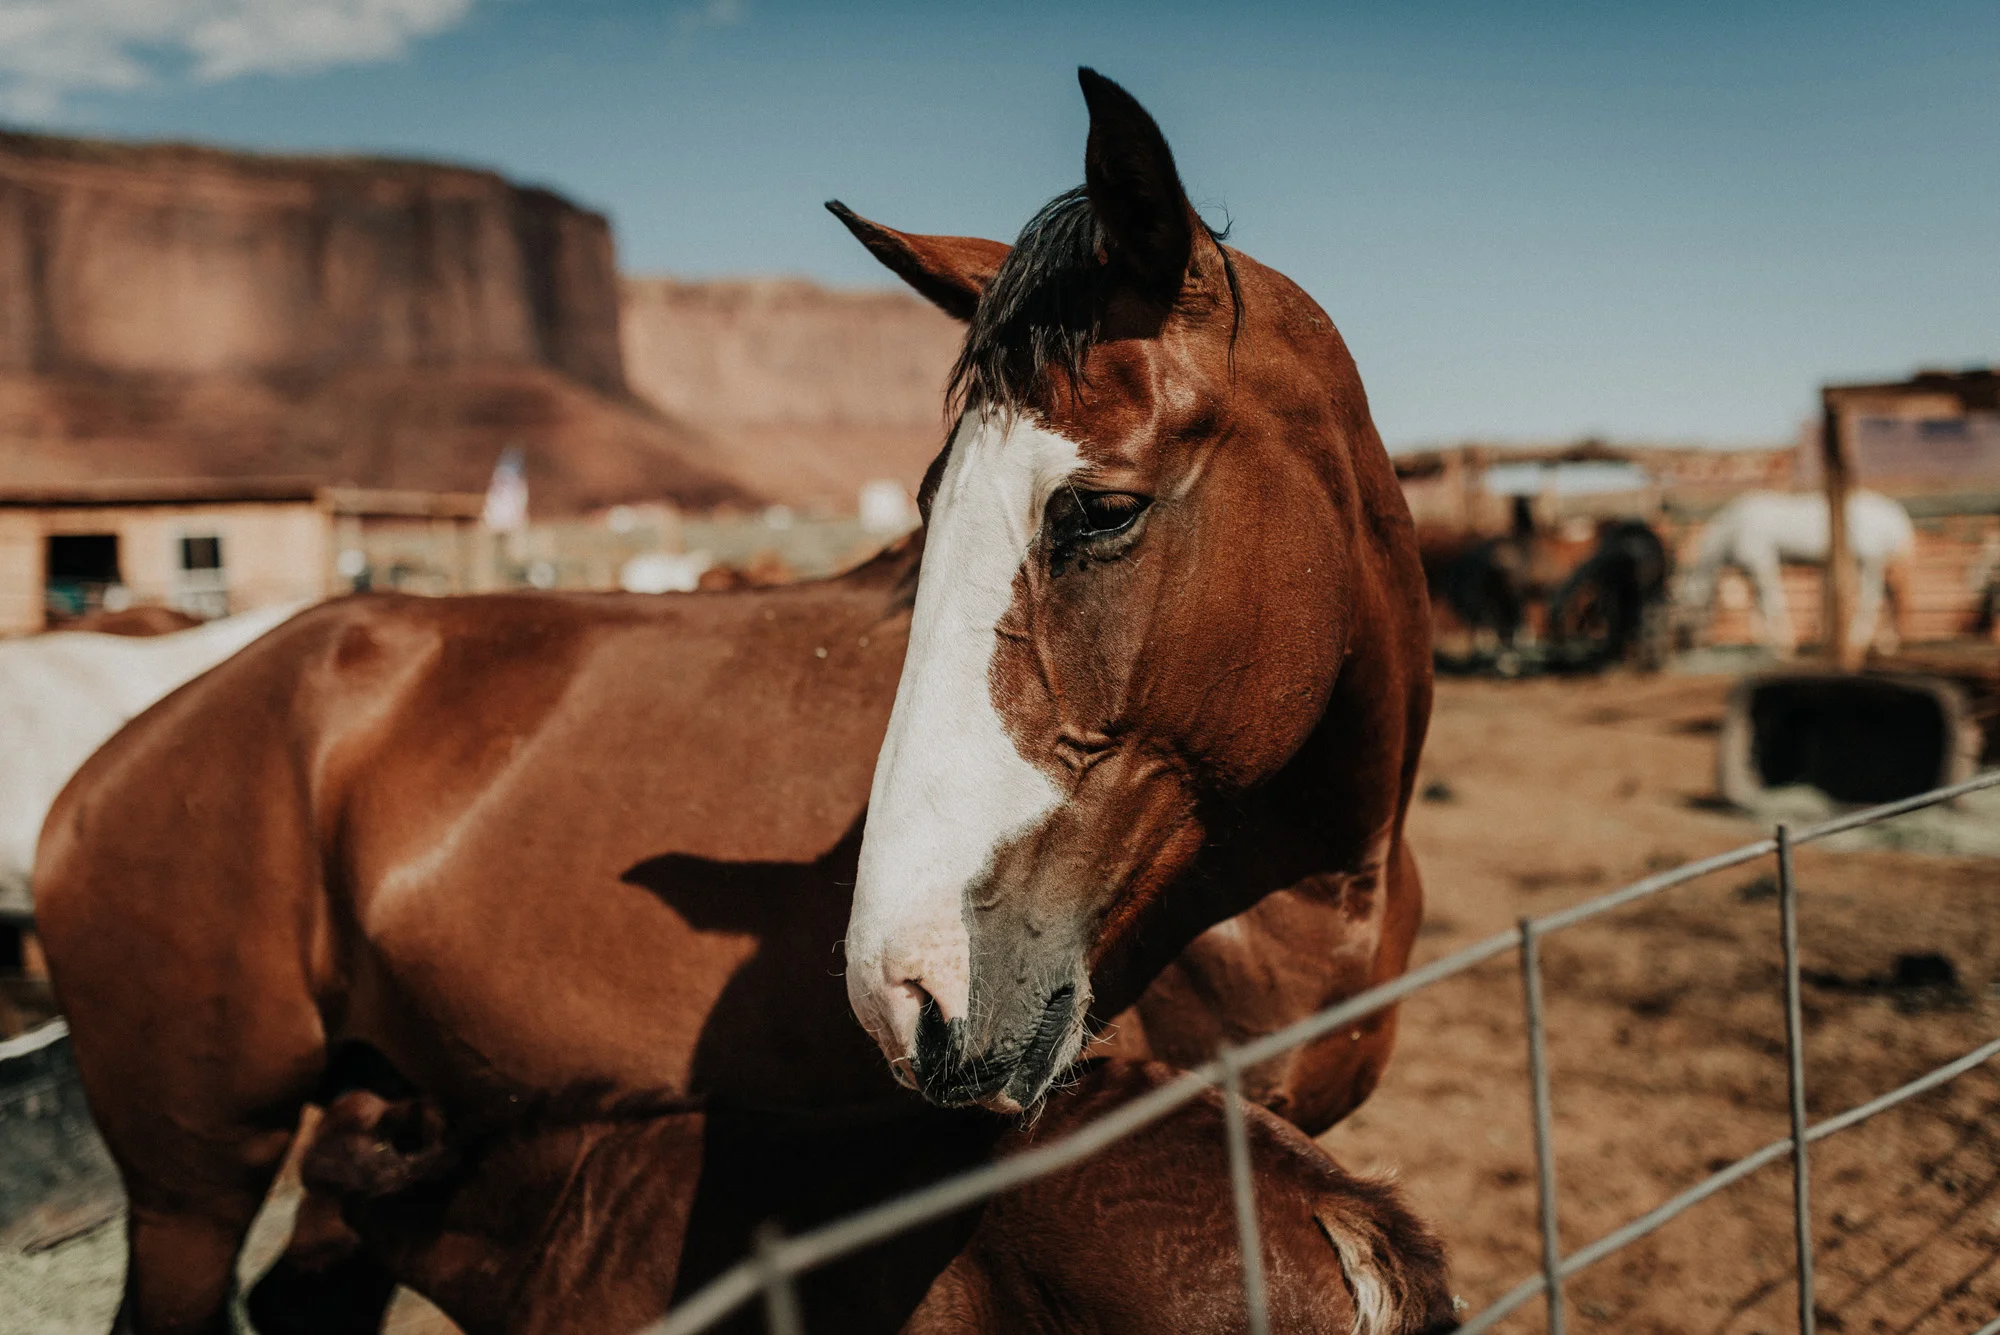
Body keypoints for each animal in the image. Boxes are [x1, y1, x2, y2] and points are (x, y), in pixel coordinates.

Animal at [36, 70, 1432, 1335]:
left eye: (1098, 509)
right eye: (924, 511)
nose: (900, 988)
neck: (1299, 883)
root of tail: (106, 769)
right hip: (194, 1186)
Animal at [1678, 489, 1915, 656]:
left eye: (1690, 609)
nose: (1692, 645)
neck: (1733, 529)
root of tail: (1895, 517)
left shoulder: (1763, 563)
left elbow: (1773, 601)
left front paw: (1784, 646)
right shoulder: (1751, 571)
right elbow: (1757, 606)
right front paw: (1765, 643)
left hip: (1869, 562)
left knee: (1871, 598)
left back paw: (1857, 640)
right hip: (1874, 564)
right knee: (1889, 596)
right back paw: (1887, 644)